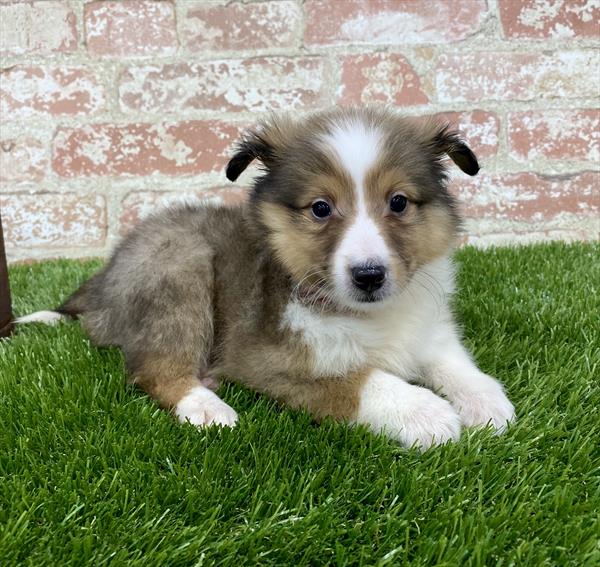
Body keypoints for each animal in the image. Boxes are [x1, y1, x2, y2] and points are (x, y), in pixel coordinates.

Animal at [18, 107, 516, 448]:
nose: (369, 275)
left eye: (398, 202)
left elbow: (452, 362)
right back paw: (208, 407)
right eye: (320, 208)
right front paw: (427, 413)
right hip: (180, 270)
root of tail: (102, 280)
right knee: (152, 368)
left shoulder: (428, 329)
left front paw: (487, 402)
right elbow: (361, 379)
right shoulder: (265, 358)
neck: (368, 315)